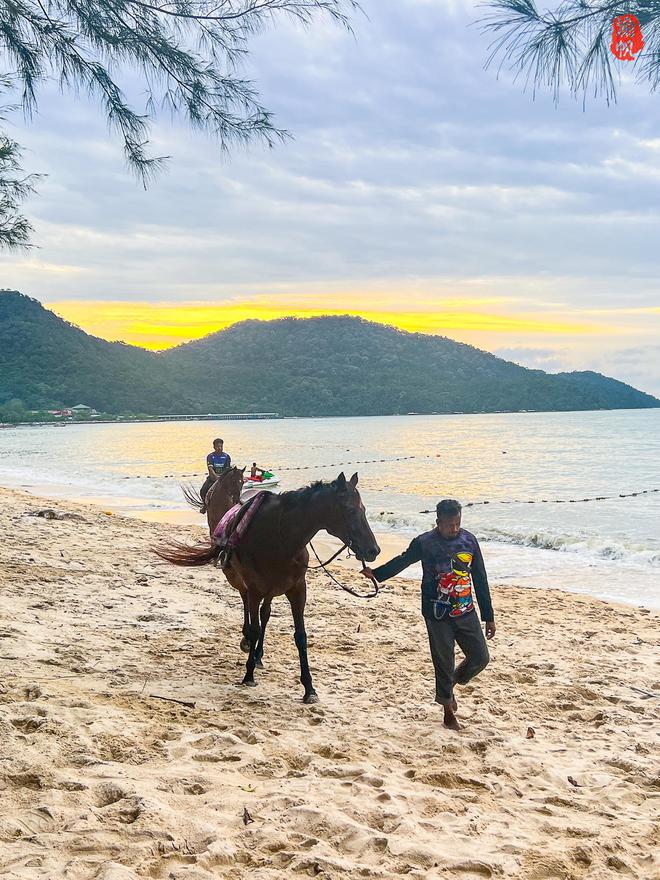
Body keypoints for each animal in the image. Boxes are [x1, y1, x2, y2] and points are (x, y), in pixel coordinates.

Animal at [157, 470, 378, 704]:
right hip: (241, 582)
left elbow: (300, 636)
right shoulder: (255, 589)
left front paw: (309, 688)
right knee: (246, 605)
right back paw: (248, 644)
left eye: (364, 509)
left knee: (266, 613)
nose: (373, 550)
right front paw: (248, 674)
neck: (281, 538)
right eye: (350, 510)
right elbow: (254, 627)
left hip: (271, 590)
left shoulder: (297, 590)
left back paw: (259, 655)